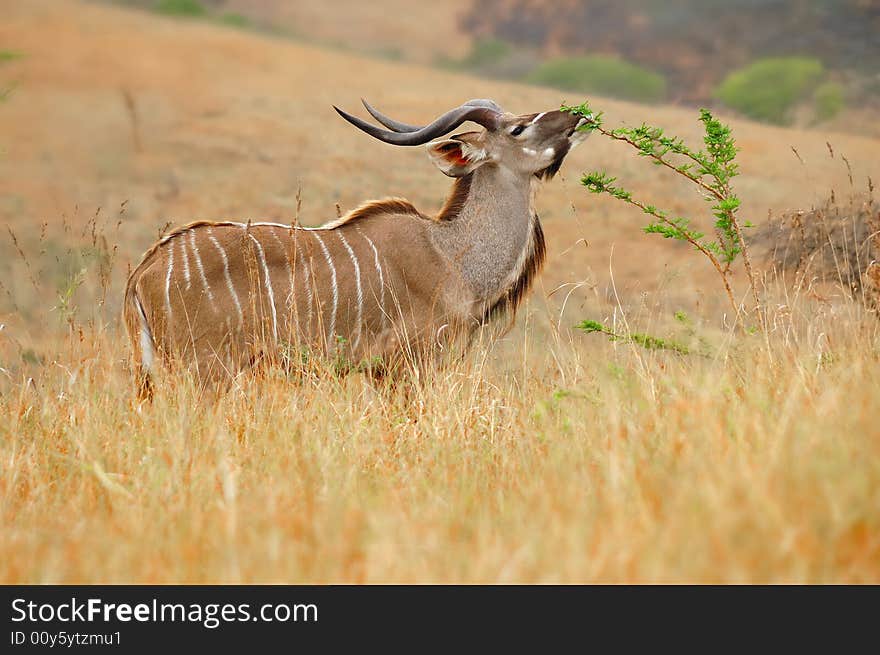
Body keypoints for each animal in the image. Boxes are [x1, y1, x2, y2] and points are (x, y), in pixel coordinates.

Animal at [122, 96, 592, 394]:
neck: (450, 254)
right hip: (206, 371)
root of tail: (145, 270)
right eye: (518, 128)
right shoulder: (405, 366)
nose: (576, 116)